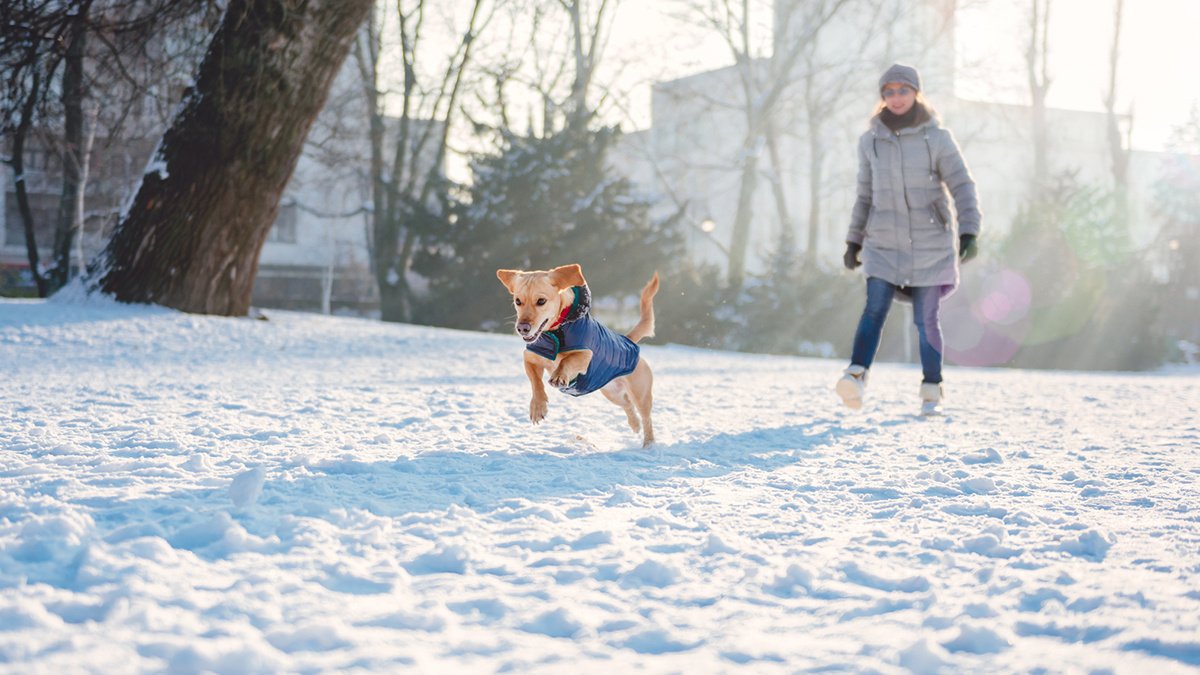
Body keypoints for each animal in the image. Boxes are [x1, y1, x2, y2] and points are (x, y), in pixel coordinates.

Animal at [499, 263, 667, 446]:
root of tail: (628, 340)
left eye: (541, 301)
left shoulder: (586, 355)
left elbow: (567, 361)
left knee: (646, 418)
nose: (522, 328)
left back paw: (648, 443)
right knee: (627, 405)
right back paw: (634, 425)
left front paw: (559, 376)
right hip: (611, 392)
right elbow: (535, 383)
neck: (556, 331)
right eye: (518, 301)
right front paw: (538, 407)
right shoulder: (529, 357)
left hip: (640, 395)